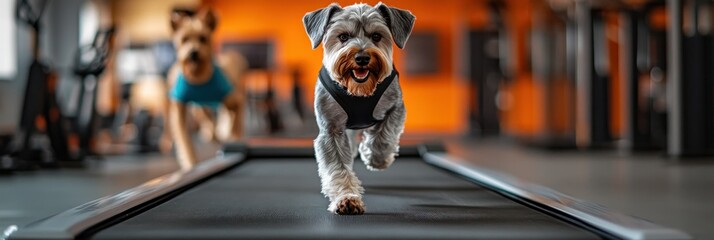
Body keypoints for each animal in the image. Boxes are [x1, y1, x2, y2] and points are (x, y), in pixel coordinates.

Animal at [168, 8, 248, 170]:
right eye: (184, 39)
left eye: (203, 38)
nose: (193, 53)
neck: (198, 77)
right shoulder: (180, 110)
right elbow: (185, 142)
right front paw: (191, 164)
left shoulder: (236, 101)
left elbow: (235, 126)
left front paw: (233, 137)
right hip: (200, 108)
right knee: (209, 121)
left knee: (228, 120)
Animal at [300, 2, 412, 215]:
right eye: (343, 36)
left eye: (376, 36)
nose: (362, 57)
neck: (359, 91)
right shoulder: (331, 131)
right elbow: (338, 168)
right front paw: (347, 198)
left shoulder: (396, 107)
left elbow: (384, 135)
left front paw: (376, 158)